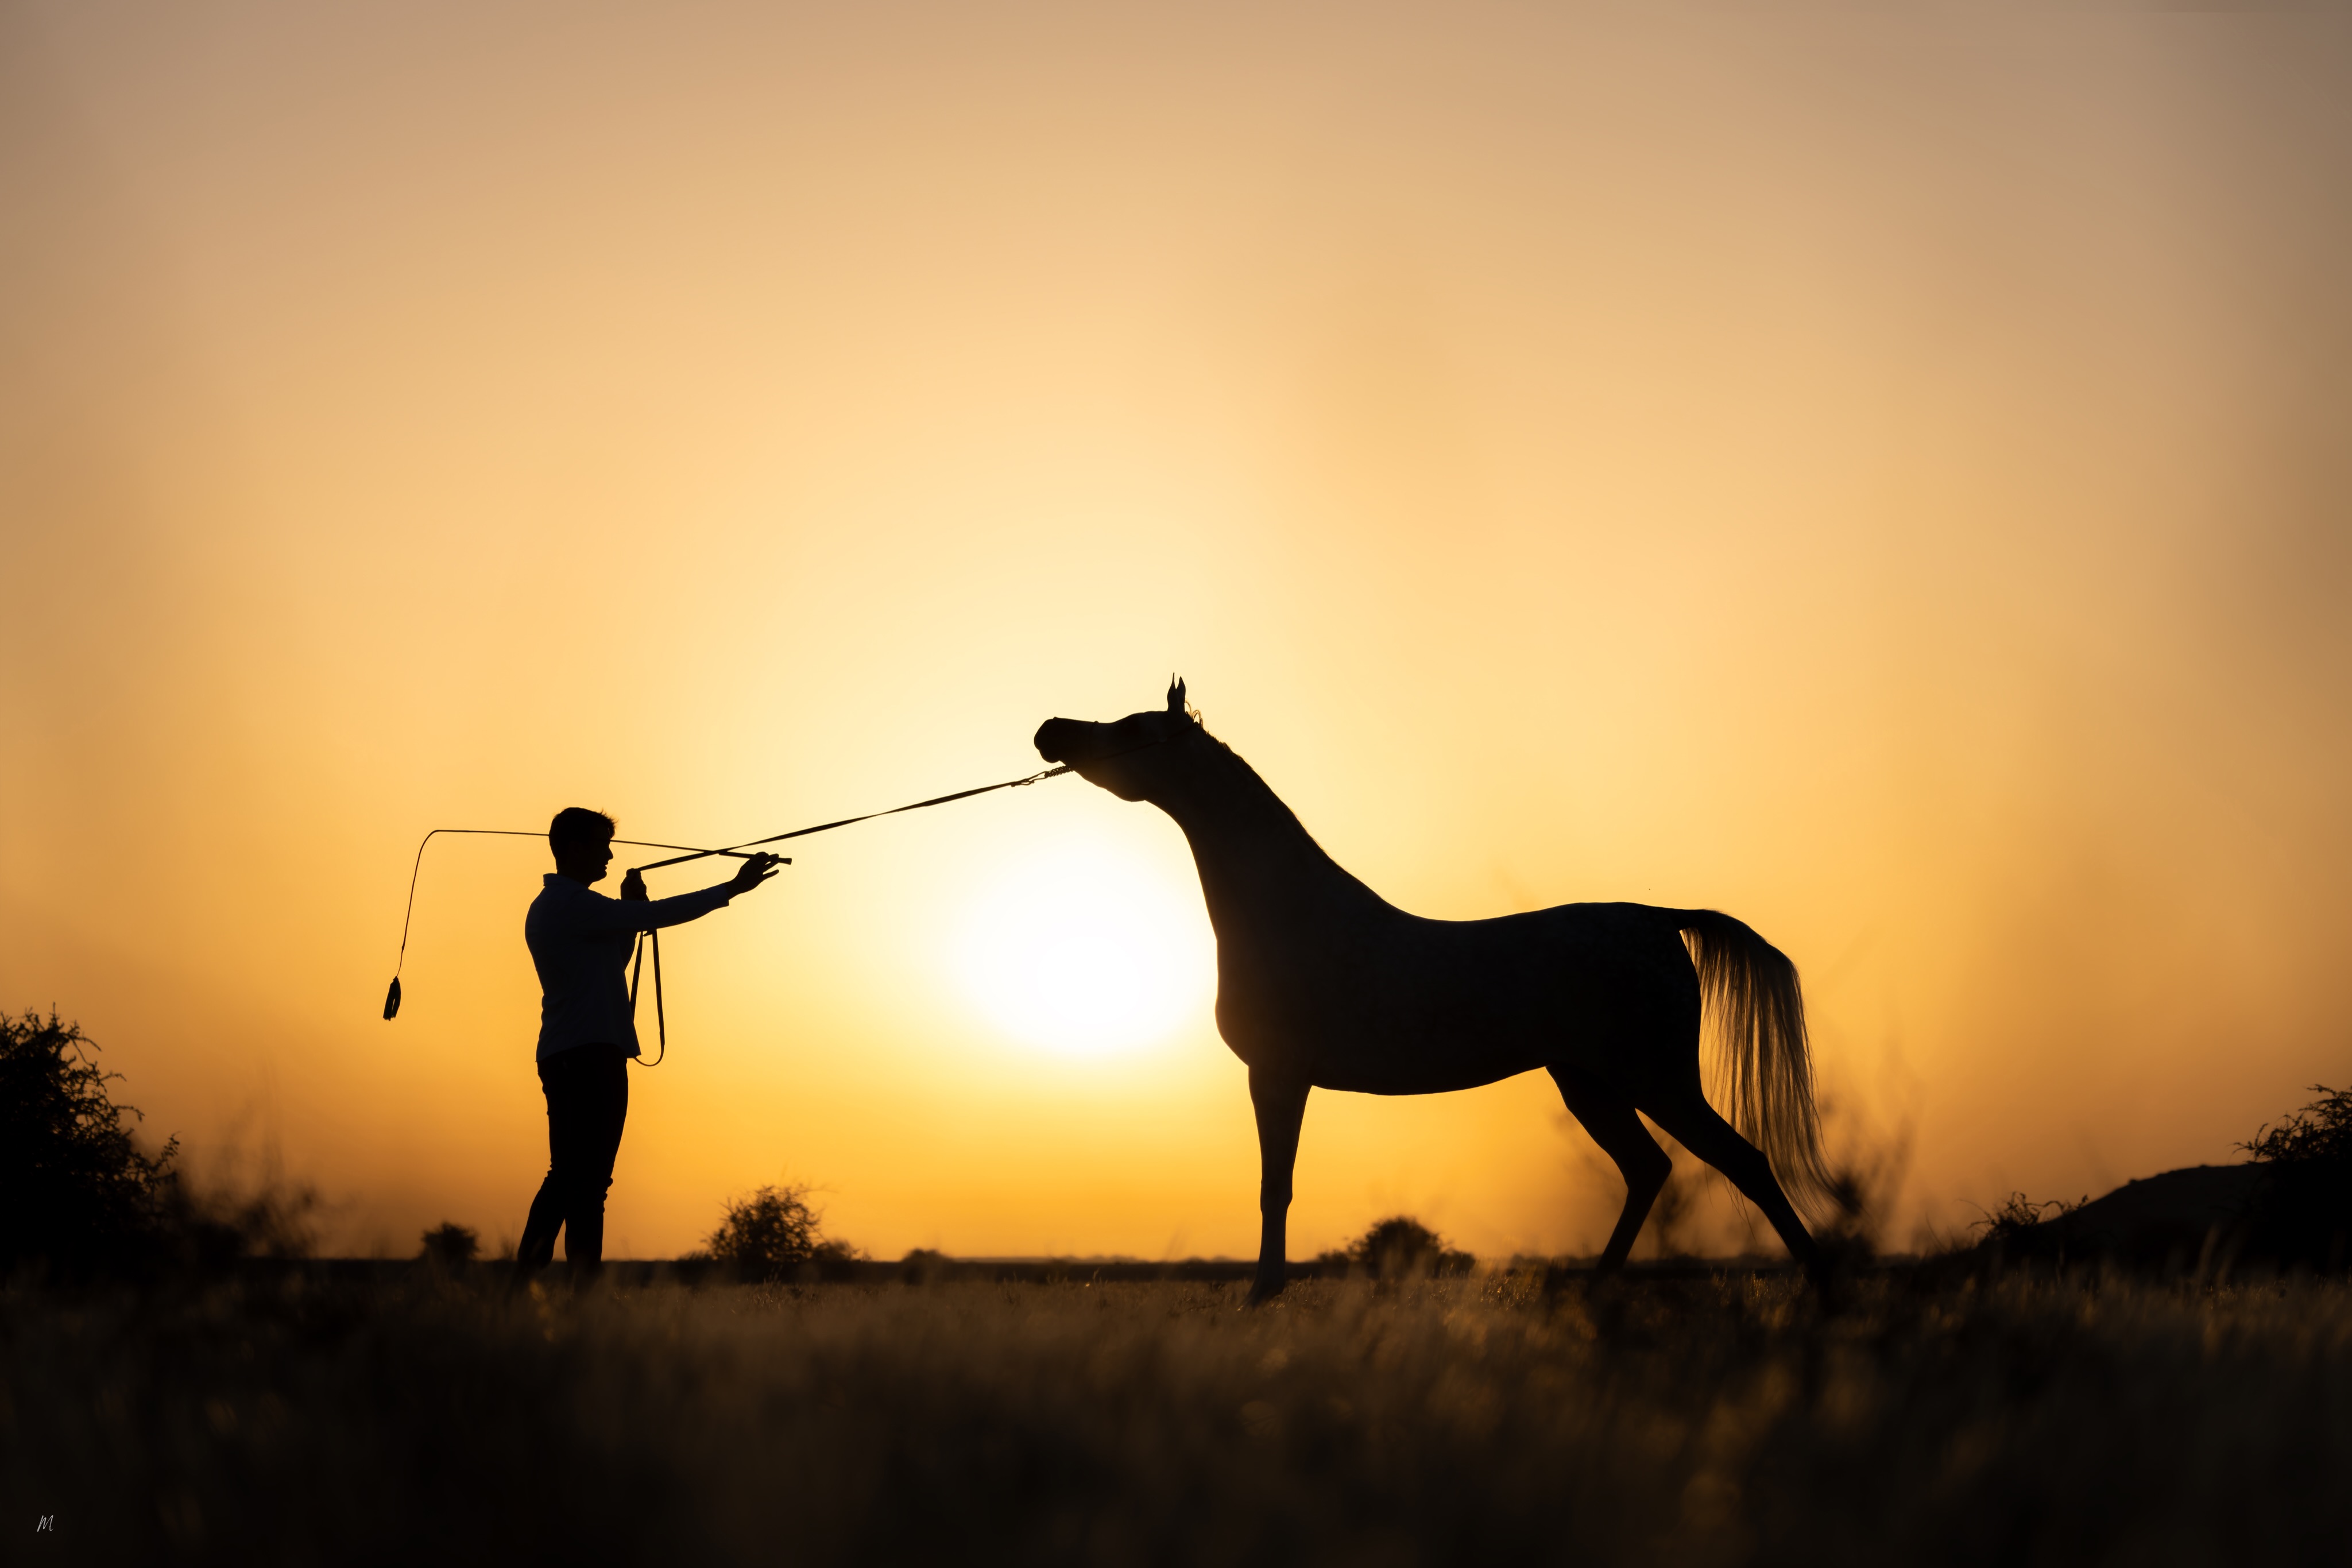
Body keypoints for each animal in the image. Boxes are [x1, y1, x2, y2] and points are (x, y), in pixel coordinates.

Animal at [1034, 679, 1832, 1302]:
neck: (1292, 915)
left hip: (1654, 1078)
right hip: (1590, 1081)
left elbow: (1274, 1185)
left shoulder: (1277, 1074)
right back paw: (1591, 1294)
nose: (1050, 731)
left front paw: (1263, 1290)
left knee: (1743, 1163)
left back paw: (1822, 1291)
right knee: (1649, 1169)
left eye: (1133, 728)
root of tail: (1660, 919)